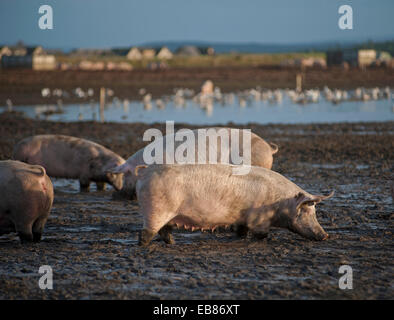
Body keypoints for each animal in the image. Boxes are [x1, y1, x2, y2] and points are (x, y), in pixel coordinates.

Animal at [135, 164, 332, 246]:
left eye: (314, 212)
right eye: (306, 212)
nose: (325, 236)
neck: (280, 203)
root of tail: (144, 173)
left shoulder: (242, 218)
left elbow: (241, 231)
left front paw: (239, 238)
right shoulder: (258, 219)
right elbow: (261, 234)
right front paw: (263, 240)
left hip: (167, 214)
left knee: (164, 231)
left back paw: (174, 243)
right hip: (156, 210)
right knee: (146, 233)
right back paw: (144, 246)